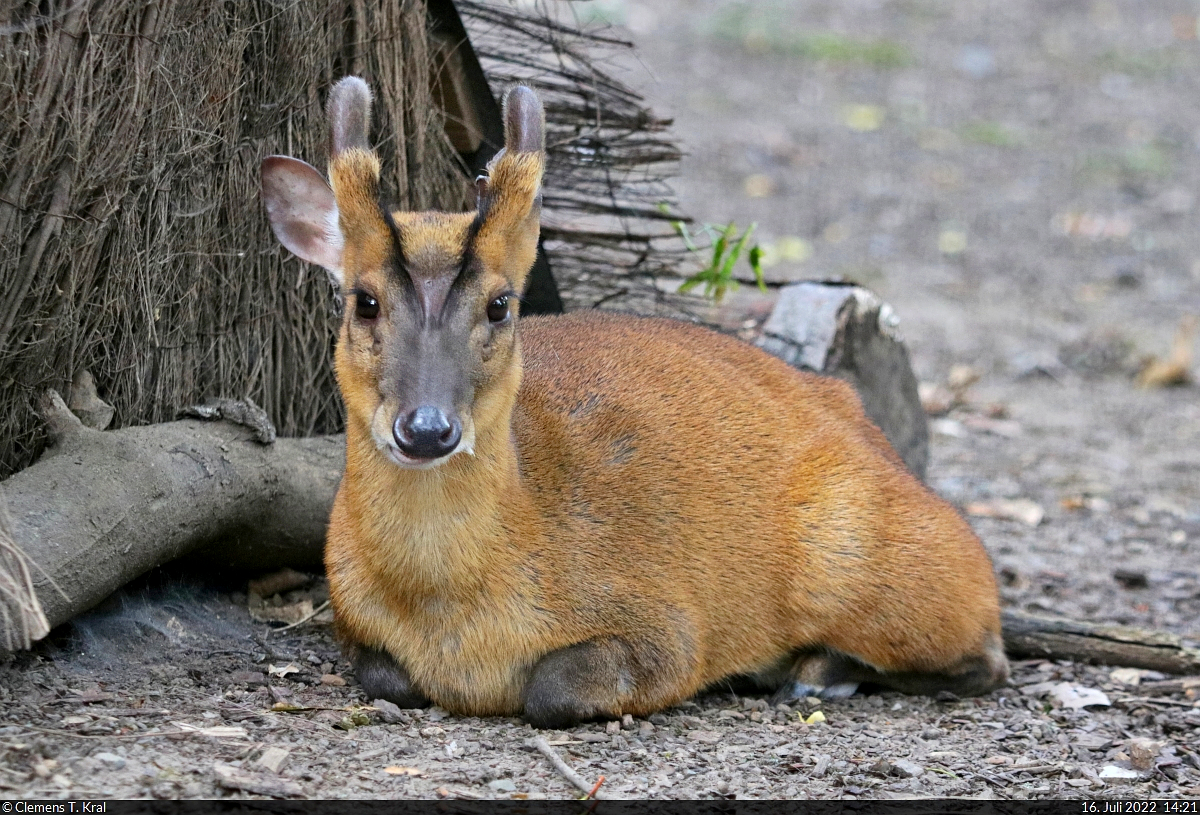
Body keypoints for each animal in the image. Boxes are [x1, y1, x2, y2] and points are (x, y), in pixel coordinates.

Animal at [262, 76, 1012, 724]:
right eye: (364, 300)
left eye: (501, 304)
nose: (426, 429)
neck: (454, 620)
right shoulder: (350, 619)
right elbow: (385, 673)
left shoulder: (667, 623)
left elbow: (553, 688)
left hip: (874, 559)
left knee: (987, 654)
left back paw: (814, 671)